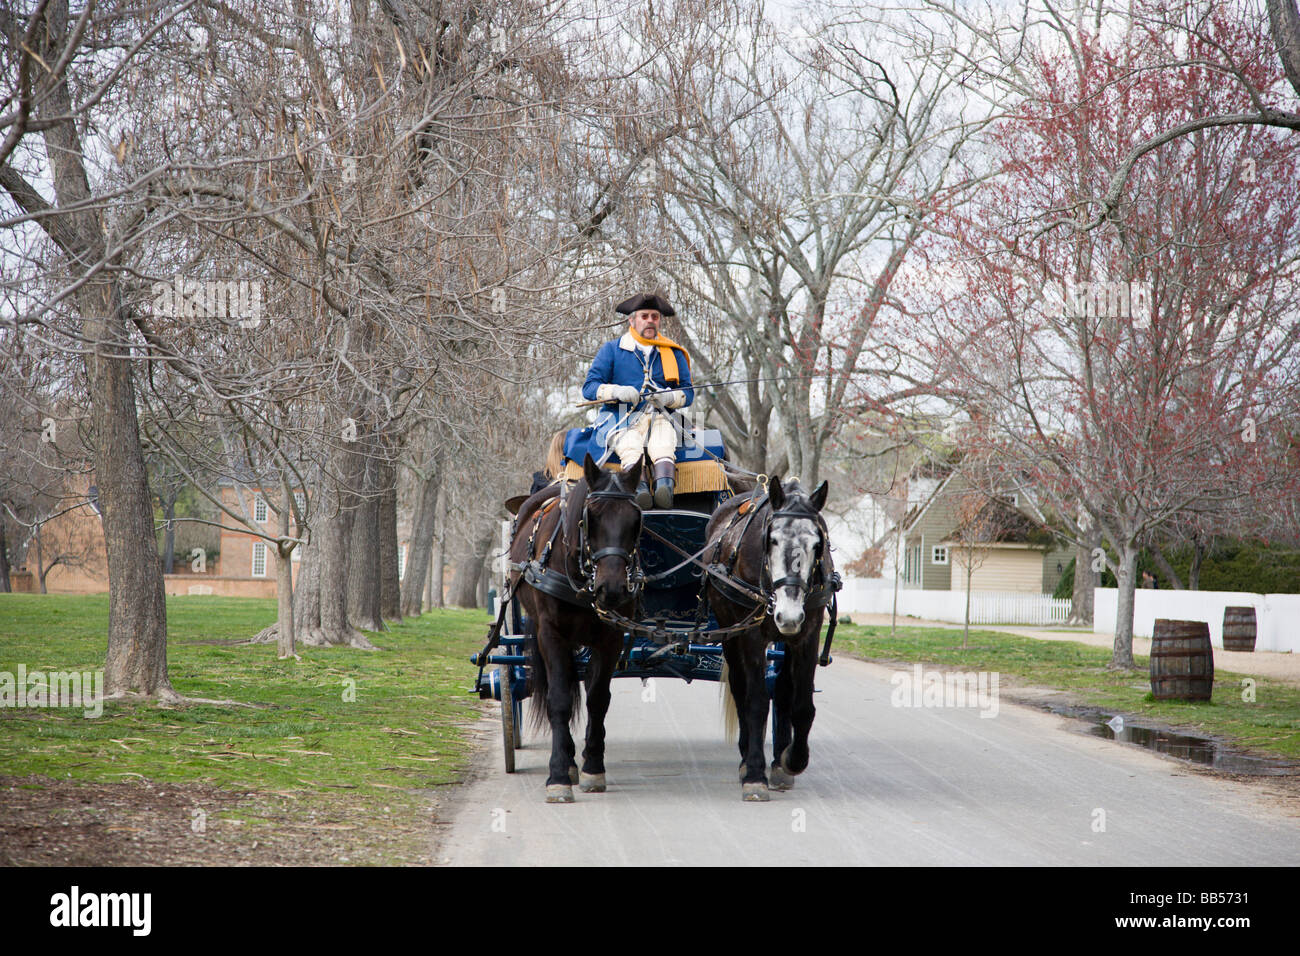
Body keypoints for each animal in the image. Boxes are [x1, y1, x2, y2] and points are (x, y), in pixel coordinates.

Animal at [509, 452, 644, 803]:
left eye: (636, 520)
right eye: (591, 517)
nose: (613, 589)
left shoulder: (611, 638)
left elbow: (598, 699)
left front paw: (593, 767)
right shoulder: (551, 634)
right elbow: (559, 699)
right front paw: (558, 774)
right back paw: (567, 762)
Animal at [705, 476, 833, 801]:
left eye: (817, 543)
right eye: (772, 540)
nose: (788, 615)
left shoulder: (808, 633)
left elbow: (802, 705)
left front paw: (791, 760)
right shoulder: (751, 635)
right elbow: (756, 701)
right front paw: (753, 774)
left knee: (784, 690)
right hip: (730, 631)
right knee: (740, 689)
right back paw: (746, 760)